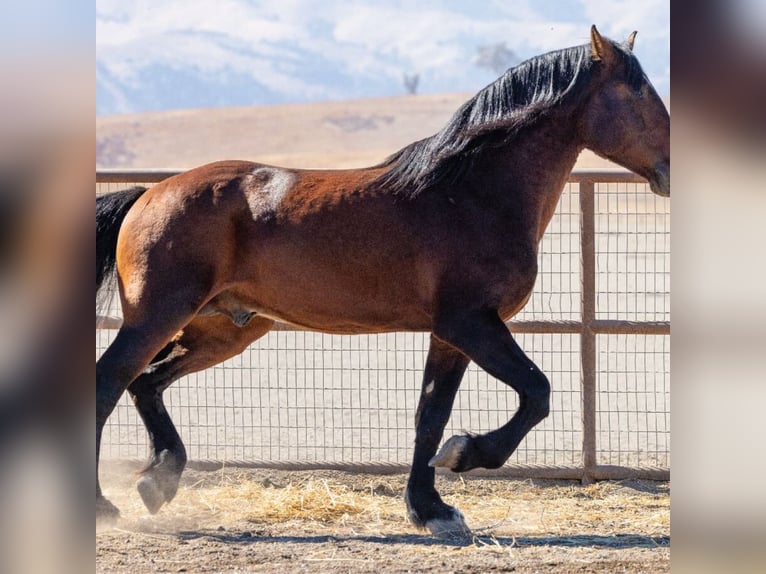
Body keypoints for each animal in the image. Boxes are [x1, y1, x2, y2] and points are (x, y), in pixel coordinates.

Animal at [97, 25, 672, 540]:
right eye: (638, 91)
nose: (670, 169)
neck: (472, 194)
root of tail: (149, 194)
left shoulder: (449, 335)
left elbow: (430, 415)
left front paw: (432, 508)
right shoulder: (472, 324)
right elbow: (537, 392)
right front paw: (464, 456)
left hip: (225, 328)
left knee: (147, 382)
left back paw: (158, 482)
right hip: (158, 315)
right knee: (110, 380)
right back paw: (104, 505)